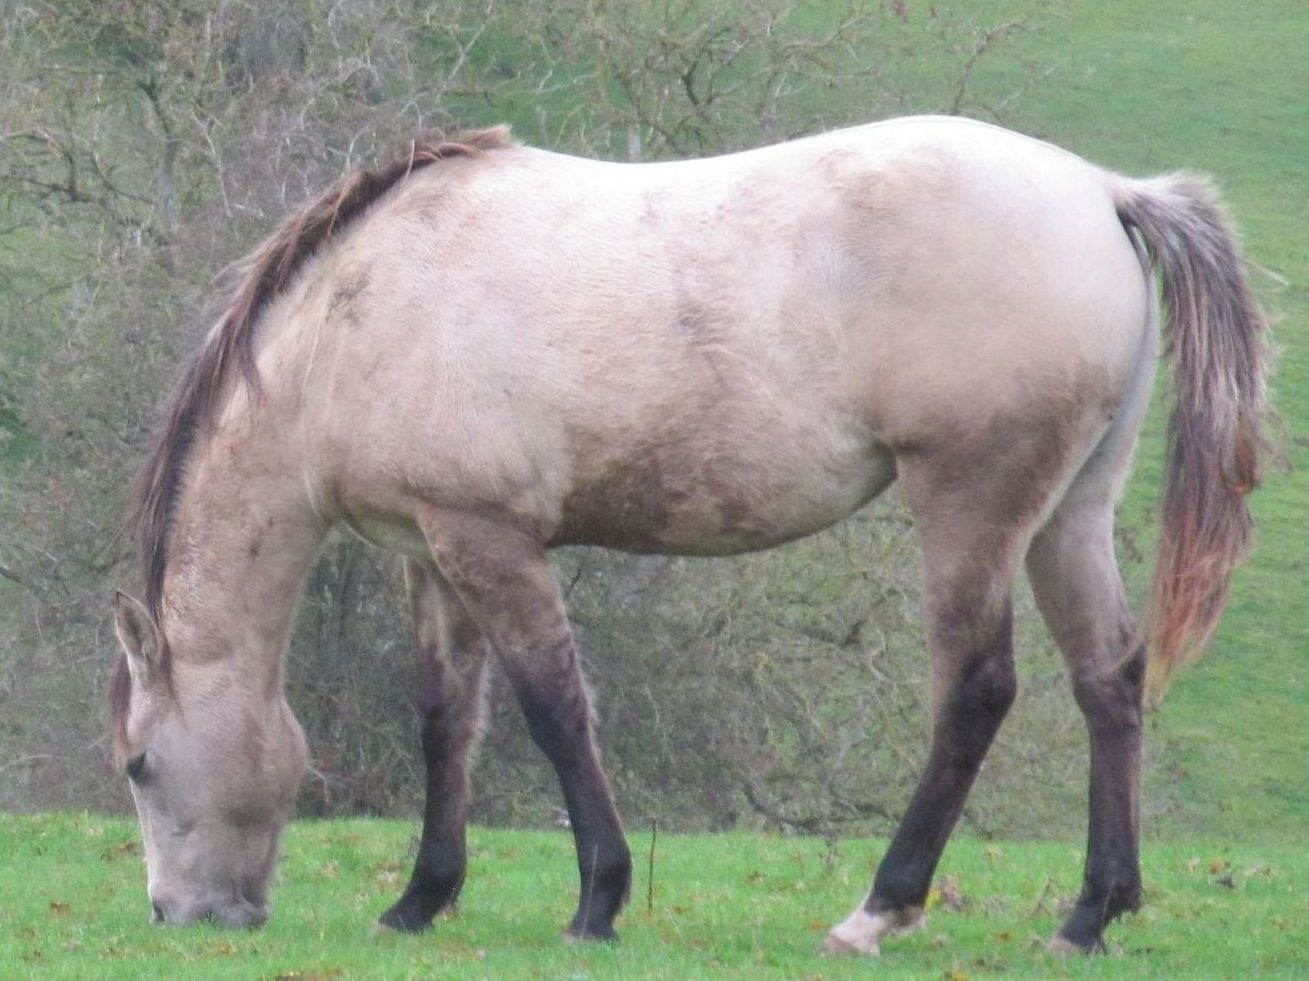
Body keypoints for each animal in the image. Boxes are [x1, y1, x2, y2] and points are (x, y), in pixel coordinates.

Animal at [112, 112, 1267, 948]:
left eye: (137, 765)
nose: (180, 915)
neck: (361, 313)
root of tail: (1105, 191)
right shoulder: (432, 552)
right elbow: (446, 720)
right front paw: (419, 902)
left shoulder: (490, 542)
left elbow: (552, 710)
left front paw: (597, 900)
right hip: (1068, 514)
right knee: (1109, 682)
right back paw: (1089, 914)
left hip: (970, 505)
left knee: (976, 690)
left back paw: (877, 910)